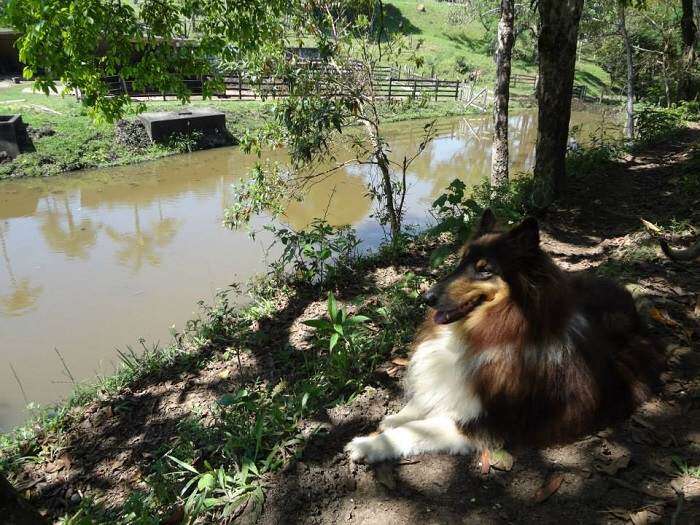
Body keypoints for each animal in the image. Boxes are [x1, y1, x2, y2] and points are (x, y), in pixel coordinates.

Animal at [348, 209, 664, 462]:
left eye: (484, 270)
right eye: (460, 262)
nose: (428, 298)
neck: (492, 329)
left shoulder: (489, 421)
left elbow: (418, 431)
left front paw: (367, 445)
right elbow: (421, 401)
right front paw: (394, 417)